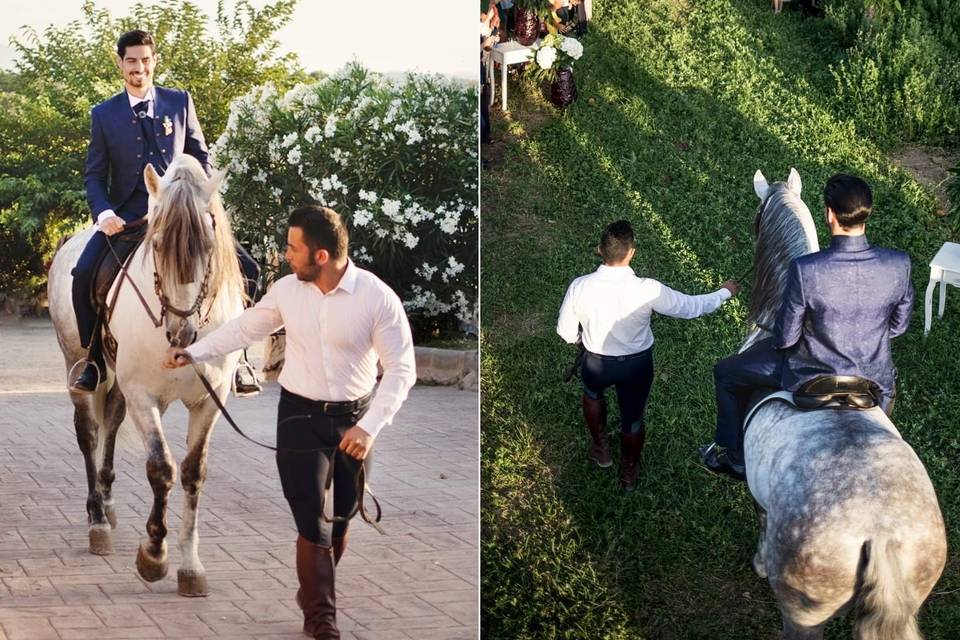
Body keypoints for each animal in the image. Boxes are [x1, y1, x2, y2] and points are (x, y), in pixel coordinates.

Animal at [47, 155, 246, 596]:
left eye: (209, 247)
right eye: (156, 246)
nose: (182, 334)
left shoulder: (209, 400)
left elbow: (192, 472)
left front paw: (190, 565)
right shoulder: (143, 395)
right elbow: (161, 468)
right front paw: (154, 555)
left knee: (111, 421)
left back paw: (107, 503)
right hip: (79, 363)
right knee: (89, 433)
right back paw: (97, 520)